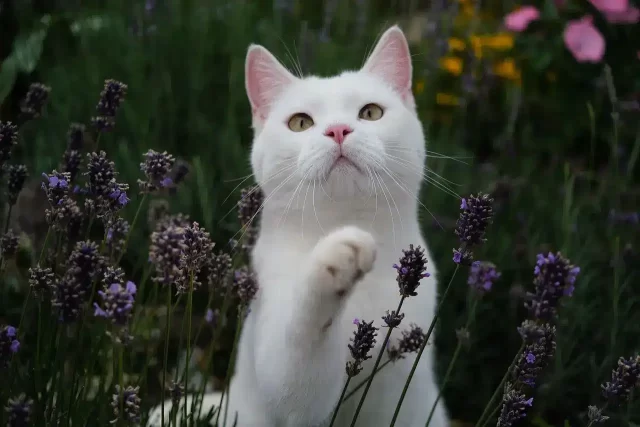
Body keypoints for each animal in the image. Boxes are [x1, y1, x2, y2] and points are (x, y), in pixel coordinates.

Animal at [150, 25, 450, 426]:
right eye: (301, 123)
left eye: (370, 112)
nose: (338, 130)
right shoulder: (285, 377)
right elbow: (298, 358)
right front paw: (336, 258)